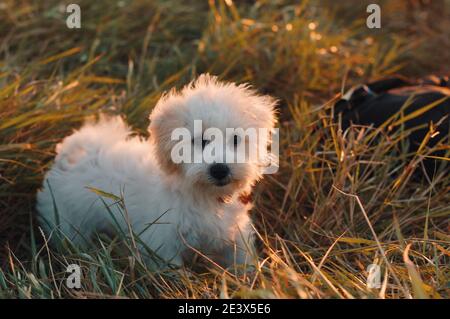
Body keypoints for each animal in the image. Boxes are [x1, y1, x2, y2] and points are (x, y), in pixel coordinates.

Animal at [37, 74, 278, 268]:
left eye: (236, 139)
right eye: (199, 141)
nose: (219, 169)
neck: (202, 195)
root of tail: (75, 152)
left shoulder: (232, 234)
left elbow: (241, 260)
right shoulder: (163, 244)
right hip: (68, 221)